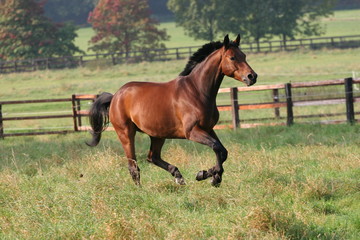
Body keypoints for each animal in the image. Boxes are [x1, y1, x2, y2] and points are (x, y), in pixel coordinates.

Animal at [86, 34, 256, 188]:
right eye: (232, 58)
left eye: (244, 55)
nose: (252, 76)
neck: (197, 91)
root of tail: (115, 96)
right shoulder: (192, 131)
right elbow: (216, 147)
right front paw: (210, 176)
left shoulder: (208, 129)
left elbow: (223, 151)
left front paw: (209, 175)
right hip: (126, 134)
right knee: (133, 165)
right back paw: (141, 190)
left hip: (157, 135)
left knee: (152, 157)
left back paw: (178, 176)